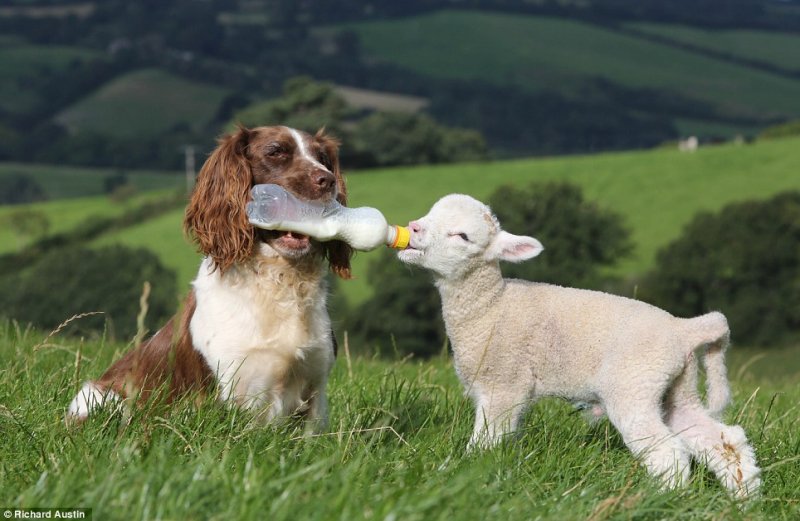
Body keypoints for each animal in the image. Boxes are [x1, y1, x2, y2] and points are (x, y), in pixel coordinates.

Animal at [67, 125, 354, 426]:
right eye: (276, 152)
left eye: (322, 158)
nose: (327, 180)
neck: (278, 281)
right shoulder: (231, 390)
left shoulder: (315, 388)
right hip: (100, 397)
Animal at [400, 194, 764, 496]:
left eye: (462, 236)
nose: (413, 228)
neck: (491, 307)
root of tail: (684, 329)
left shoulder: (504, 385)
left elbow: (486, 440)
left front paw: (464, 474)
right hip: (677, 388)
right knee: (724, 441)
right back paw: (744, 500)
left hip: (634, 385)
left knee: (668, 453)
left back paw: (663, 500)